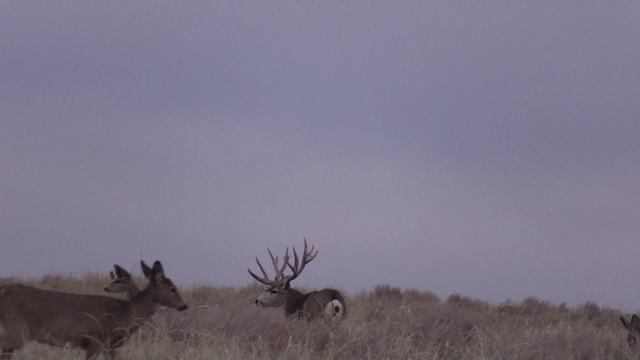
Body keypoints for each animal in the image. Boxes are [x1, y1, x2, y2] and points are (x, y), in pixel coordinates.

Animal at [0, 260, 189, 358]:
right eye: (172, 288)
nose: (184, 305)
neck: (126, 313)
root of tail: (4, 291)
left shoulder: (110, 347)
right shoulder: (95, 339)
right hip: (17, 329)